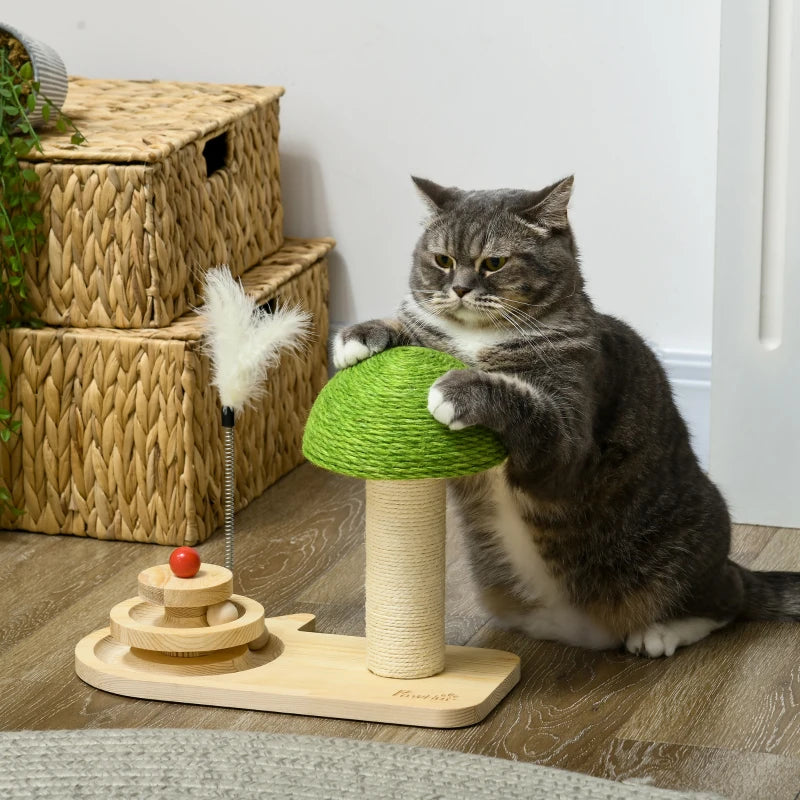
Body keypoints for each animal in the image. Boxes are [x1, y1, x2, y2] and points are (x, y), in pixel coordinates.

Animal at [332, 178, 800, 660]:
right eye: (442, 260)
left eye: (493, 263)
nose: (459, 289)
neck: (478, 340)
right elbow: (411, 330)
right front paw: (362, 334)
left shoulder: (569, 436)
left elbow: (528, 409)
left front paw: (458, 389)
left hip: (686, 545)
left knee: (725, 602)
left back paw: (660, 632)